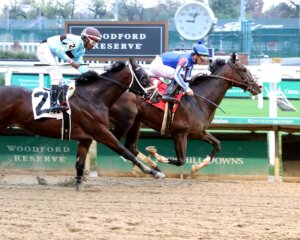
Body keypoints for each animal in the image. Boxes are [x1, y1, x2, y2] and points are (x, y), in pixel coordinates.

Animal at [0, 58, 164, 189]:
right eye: (143, 77)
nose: (158, 96)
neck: (94, 97)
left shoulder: (85, 139)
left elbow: (79, 164)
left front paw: (78, 186)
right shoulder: (102, 133)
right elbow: (126, 152)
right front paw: (154, 172)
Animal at [109, 53, 262, 172]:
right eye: (243, 69)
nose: (258, 87)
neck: (199, 101)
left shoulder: (198, 132)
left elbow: (217, 144)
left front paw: (197, 167)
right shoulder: (179, 134)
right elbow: (181, 160)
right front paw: (156, 154)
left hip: (136, 121)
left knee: (130, 146)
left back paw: (148, 166)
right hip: (126, 119)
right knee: (117, 142)